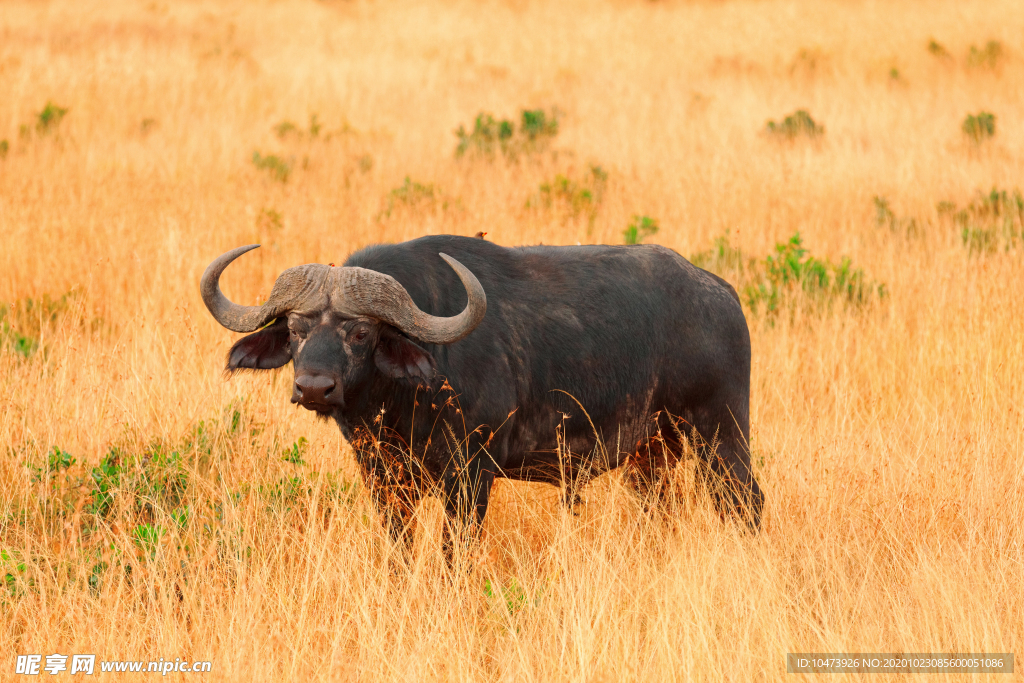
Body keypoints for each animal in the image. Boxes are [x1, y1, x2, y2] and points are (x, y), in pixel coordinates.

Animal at [197, 235, 761, 548]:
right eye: (295, 329)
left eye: (361, 333)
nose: (314, 387)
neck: (405, 401)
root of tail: (720, 294)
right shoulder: (383, 478)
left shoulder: (470, 477)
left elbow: (455, 553)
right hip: (653, 456)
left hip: (721, 435)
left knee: (746, 504)